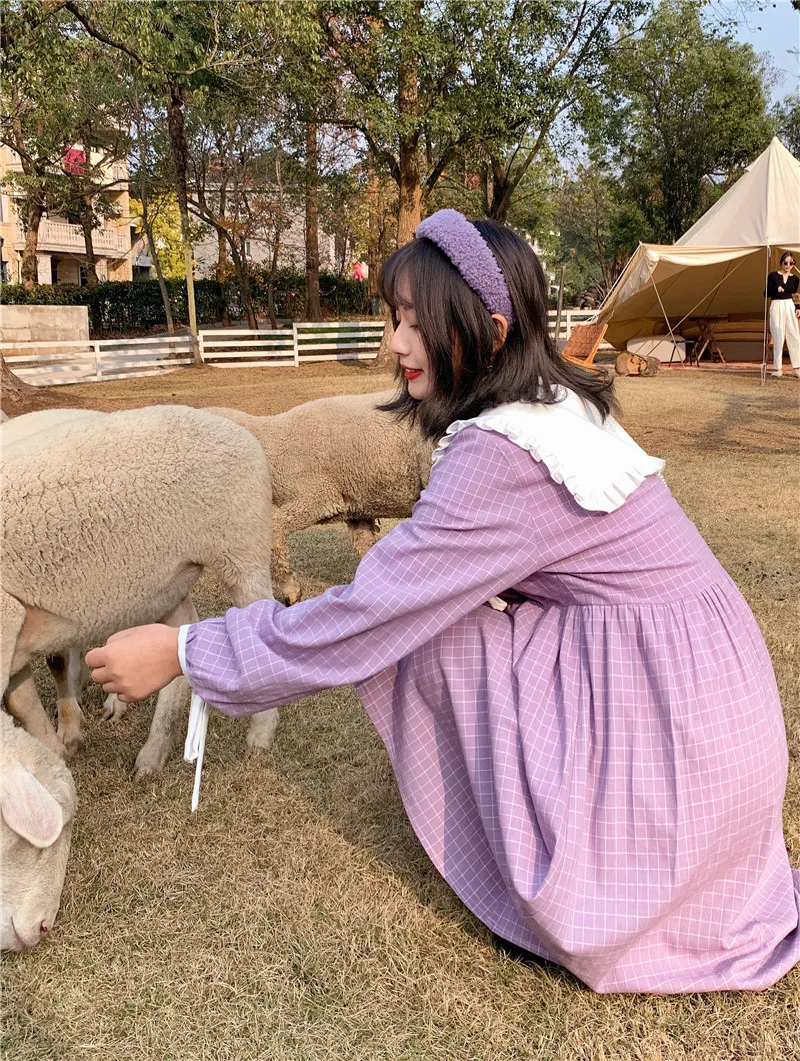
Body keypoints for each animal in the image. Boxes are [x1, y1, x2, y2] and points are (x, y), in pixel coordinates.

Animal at [0, 403, 273, 772]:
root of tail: (229, 423)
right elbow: (23, 707)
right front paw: (57, 756)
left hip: (242, 551)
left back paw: (259, 738)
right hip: (165, 585)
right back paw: (153, 752)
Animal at [209, 390, 432, 606]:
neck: (276, 450)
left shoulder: (318, 497)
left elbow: (274, 531)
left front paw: (291, 591)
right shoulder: (356, 509)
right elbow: (366, 545)